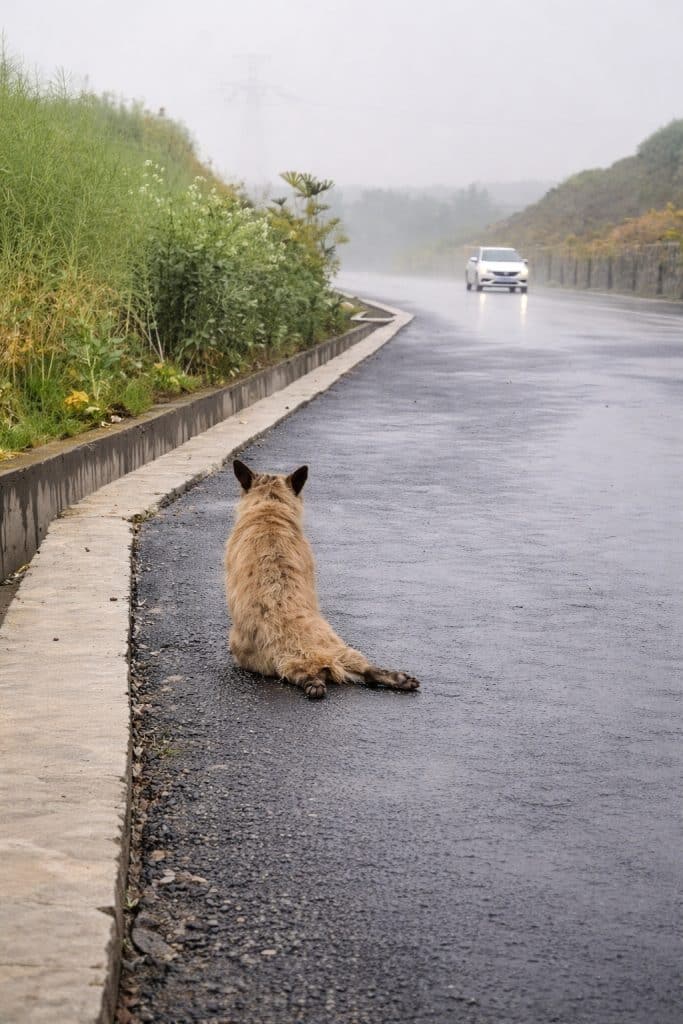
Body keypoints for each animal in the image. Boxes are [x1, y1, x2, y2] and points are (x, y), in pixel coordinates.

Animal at [224, 459, 420, 699]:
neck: (269, 509)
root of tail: (314, 654)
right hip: (342, 650)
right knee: (368, 670)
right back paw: (399, 679)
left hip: (251, 651)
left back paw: (313, 684)